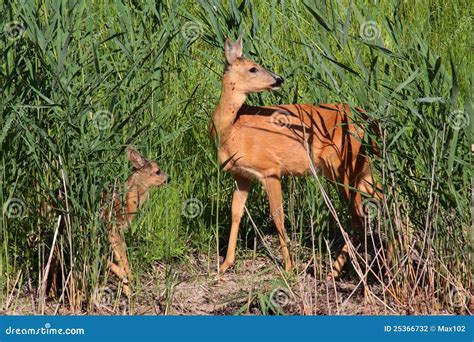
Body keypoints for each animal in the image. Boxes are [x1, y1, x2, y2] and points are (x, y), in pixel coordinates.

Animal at [211, 36, 382, 278]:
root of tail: (369, 121)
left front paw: (289, 267)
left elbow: (278, 216)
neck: (230, 130)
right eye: (253, 68)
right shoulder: (241, 175)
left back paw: (334, 271)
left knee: (359, 217)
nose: (279, 79)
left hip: (342, 167)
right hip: (361, 168)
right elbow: (236, 214)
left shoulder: (270, 169)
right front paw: (226, 264)